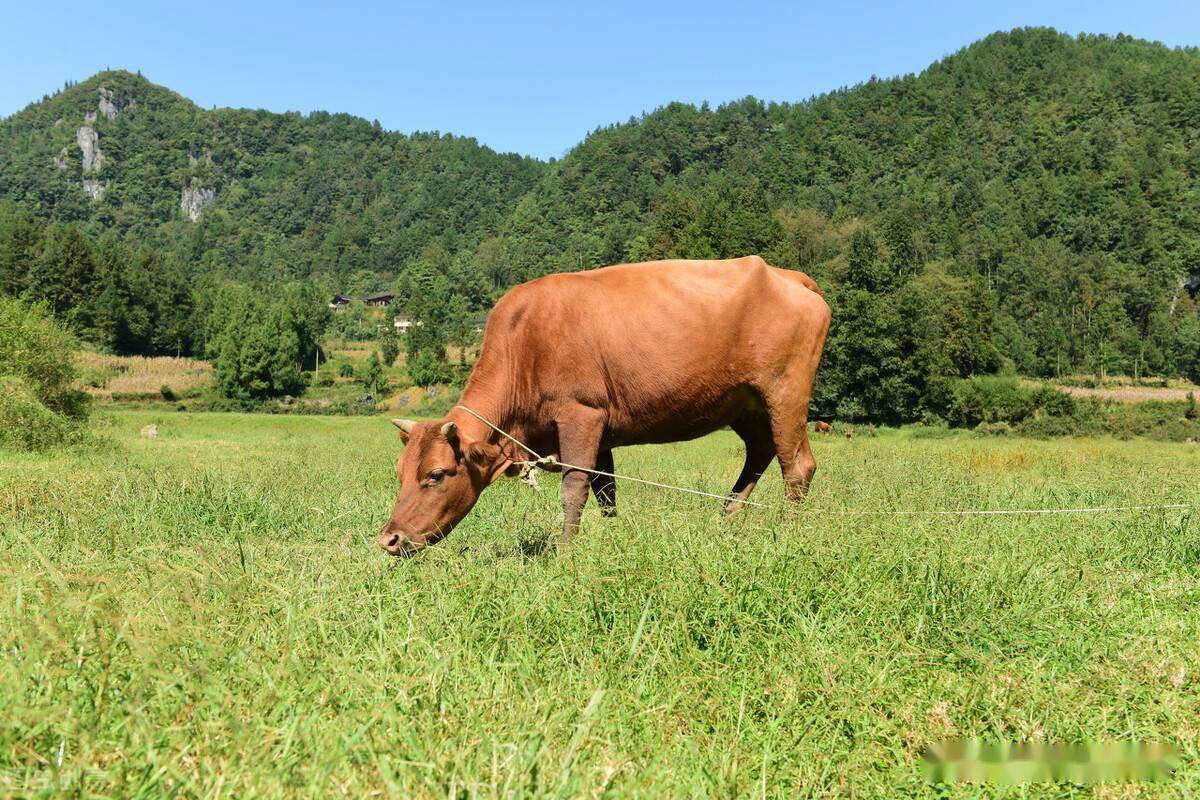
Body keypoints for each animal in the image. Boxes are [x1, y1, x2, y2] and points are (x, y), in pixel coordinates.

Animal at [379, 256, 830, 556]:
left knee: (797, 466)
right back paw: (728, 518)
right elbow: (605, 490)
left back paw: (788, 534)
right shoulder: (602, 432)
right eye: (399, 472)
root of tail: (787, 275)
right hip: (744, 402)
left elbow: (575, 487)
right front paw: (611, 540)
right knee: (761, 450)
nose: (388, 538)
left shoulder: (582, 413)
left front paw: (564, 554)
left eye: (436, 474)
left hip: (785, 389)